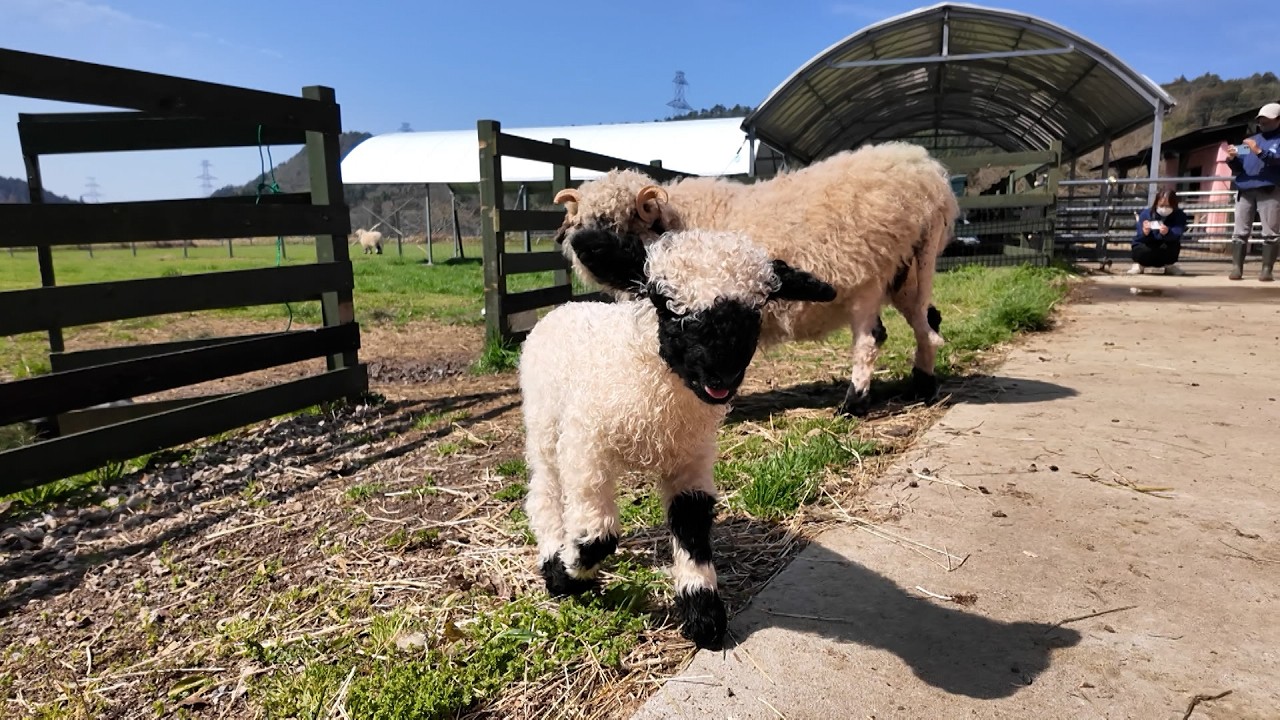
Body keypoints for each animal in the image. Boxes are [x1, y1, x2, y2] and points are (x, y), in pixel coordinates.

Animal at [519, 228, 836, 648]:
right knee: (545, 492)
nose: (723, 374)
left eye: (757, 308)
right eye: (665, 304)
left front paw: (703, 612)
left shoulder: (691, 461)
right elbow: (599, 535)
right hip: (544, 424)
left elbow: (692, 524)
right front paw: (570, 571)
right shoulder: (586, 445)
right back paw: (553, 558)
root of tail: (564, 307)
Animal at [551, 141, 959, 417]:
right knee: (927, 322)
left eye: (625, 218)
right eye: (579, 219)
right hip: (909, 272)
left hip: (867, 278)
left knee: (871, 340)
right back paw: (922, 385)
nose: (586, 246)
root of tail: (928, 179)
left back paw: (853, 404)